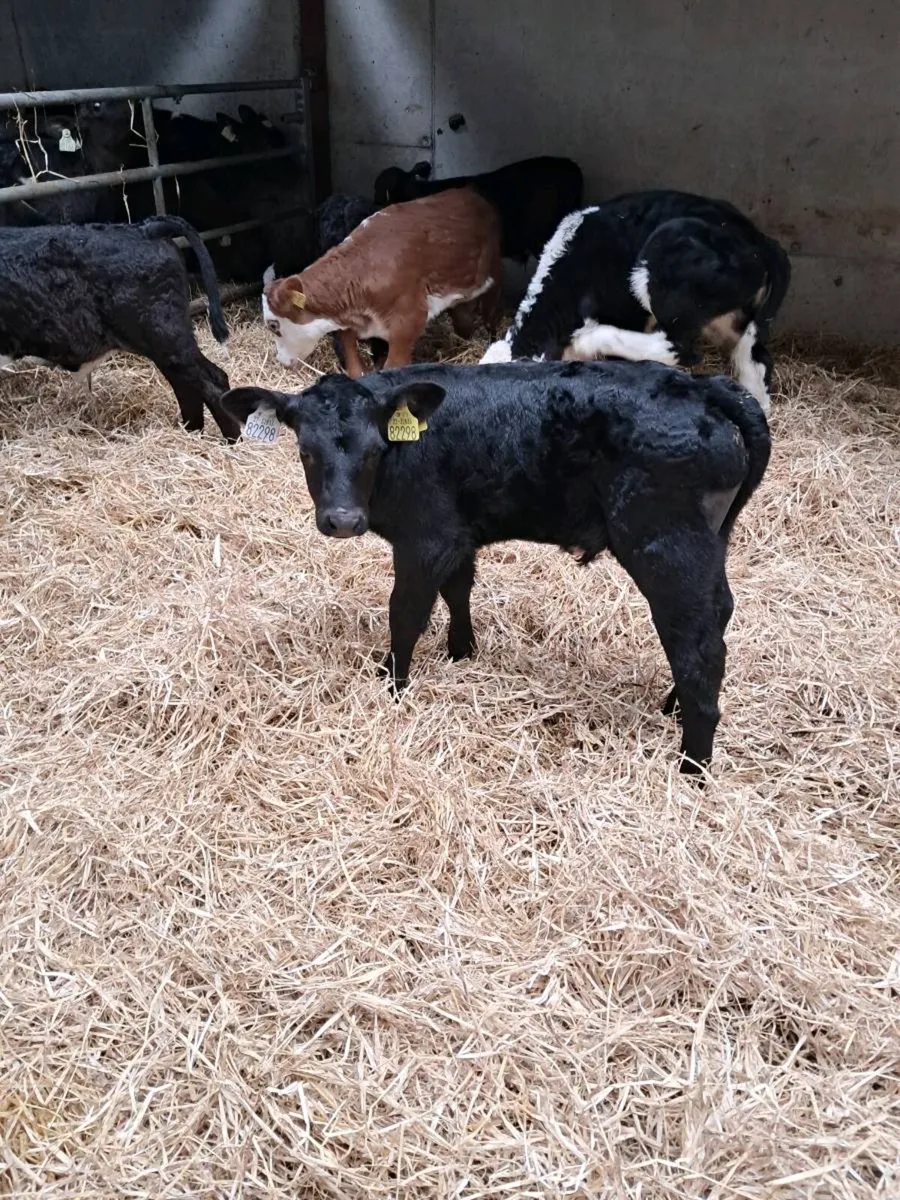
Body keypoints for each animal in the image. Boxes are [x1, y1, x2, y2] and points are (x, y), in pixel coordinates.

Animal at [221, 360, 771, 774]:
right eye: (305, 451)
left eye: (376, 449)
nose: (342, 520)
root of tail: (706, 386)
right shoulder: (458, 534)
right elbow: (459, 589)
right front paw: (462, 651)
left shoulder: (426, 537)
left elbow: (406, 613)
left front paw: (392, 683)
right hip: (711, 542)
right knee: (718, 614)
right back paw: (672, 706)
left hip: (667, 547)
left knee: (697, 646)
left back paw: (692, 766)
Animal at [261, 188, 502, 376]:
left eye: (273, 325)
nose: (281, 362)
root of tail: (470, 193)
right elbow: (353, 363)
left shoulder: (407, 323)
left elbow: (391, 367)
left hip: (493, 274)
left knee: (491, 313)